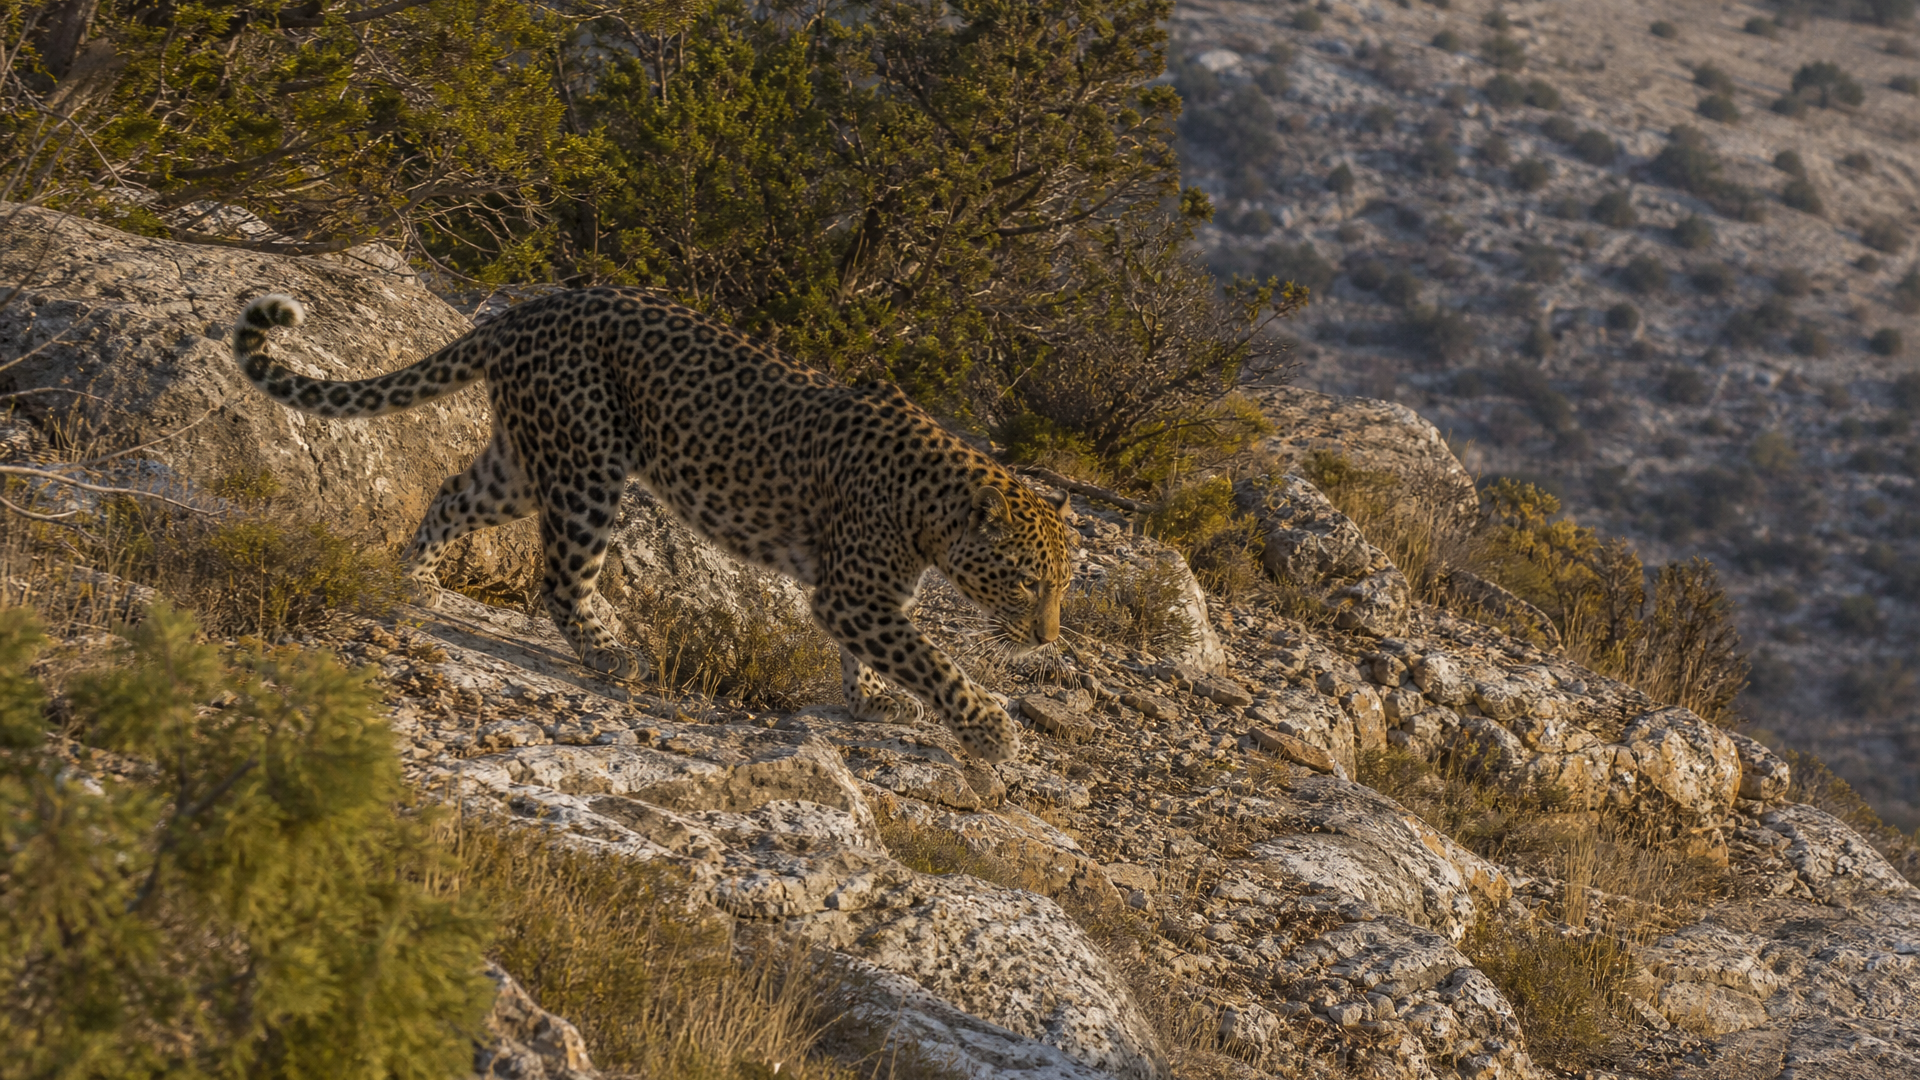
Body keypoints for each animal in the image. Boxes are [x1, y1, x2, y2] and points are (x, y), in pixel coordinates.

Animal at [231, 286, 1073, 761]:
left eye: (1063, 585)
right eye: (1025, 580)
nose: (1046, 639)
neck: (931, 506)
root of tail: (526, 311)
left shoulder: (862, 597)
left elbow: (880, 658)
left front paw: (870, 699)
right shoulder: (854, 595)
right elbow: (936, 662)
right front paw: (990, 731)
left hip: (524, 464)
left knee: (451, 493)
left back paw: (414, 581)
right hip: (585, 467)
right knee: (560, 579)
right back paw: (613, 656)